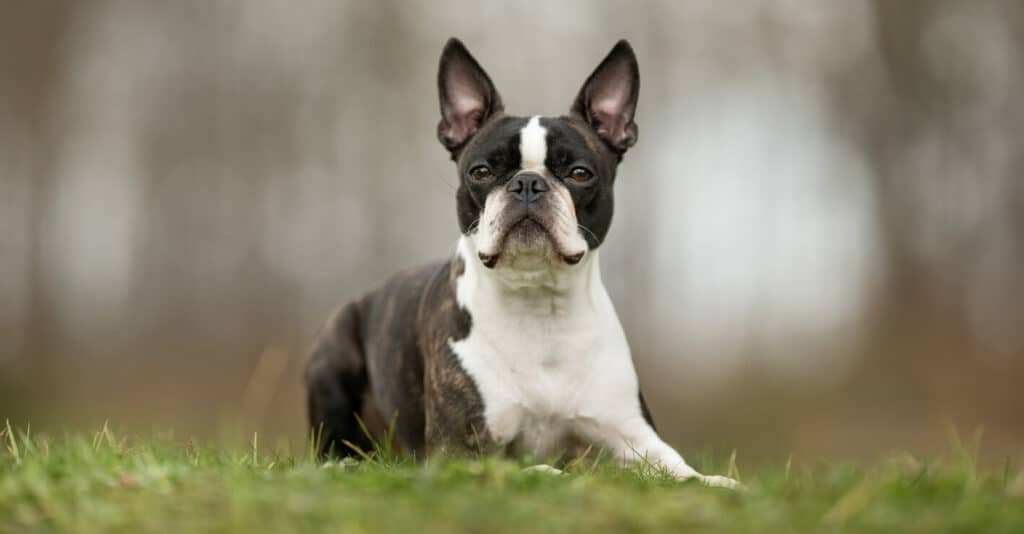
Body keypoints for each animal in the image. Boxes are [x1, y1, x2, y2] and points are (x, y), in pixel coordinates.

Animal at [303, 36, 737, 487]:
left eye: (580, 173)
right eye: (480, 171)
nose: (528, 183)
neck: (538, 305)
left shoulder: (634, 434)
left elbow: (678, 468)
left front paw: (715, 482)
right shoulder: (458, 448)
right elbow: (532, 467)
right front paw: (557, 476)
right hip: (333, 351)